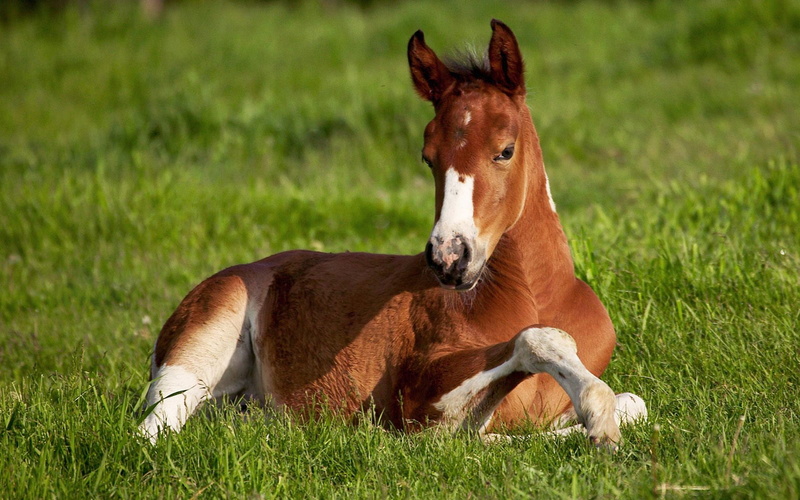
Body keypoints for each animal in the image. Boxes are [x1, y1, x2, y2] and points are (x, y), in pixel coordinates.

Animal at [139, 20, 646, 447]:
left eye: (505, 150)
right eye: (428, 157)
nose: (449, 257)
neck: (537, 296)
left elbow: (635, 404)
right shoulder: (418, 398)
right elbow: (532, 347)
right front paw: (597, 418)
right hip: (198, 348)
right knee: (152, 430)